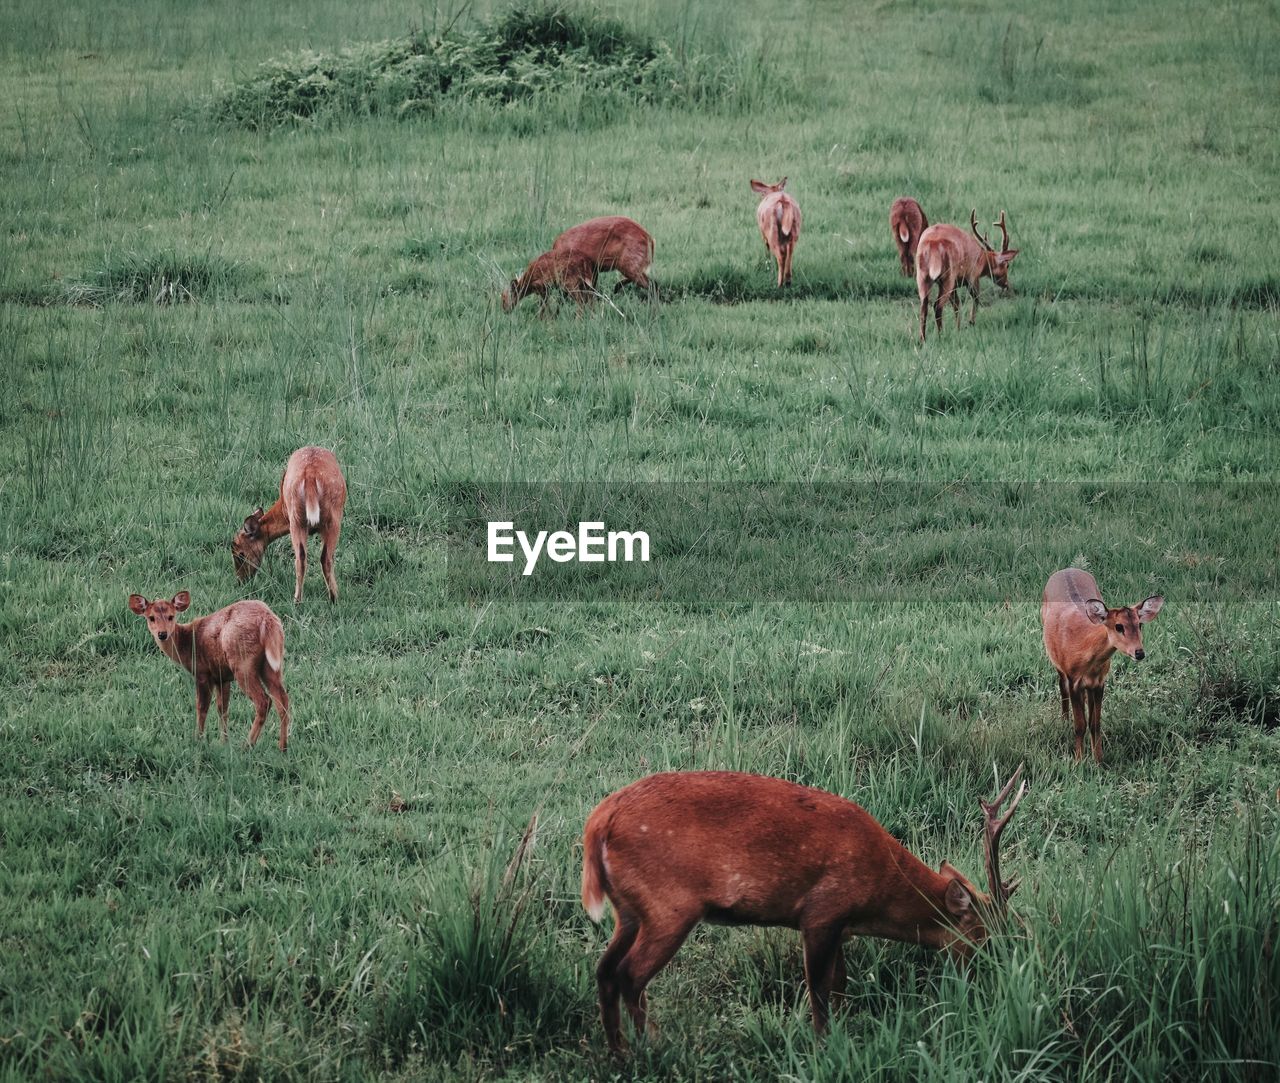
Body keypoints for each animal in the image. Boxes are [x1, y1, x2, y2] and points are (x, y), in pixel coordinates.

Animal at [128, 588, 290, 752]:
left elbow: (202, 707)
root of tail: (268, 619)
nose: (162, 634)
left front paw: (198, 740)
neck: (187, 644)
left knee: (263, 701)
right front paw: (224, 742)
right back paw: (282, 747)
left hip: (242, 663)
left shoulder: (202, 673)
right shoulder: (222, 677)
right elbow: (222, 709)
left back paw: (247, 745)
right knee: (282, 699)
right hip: (271, 665)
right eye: (151, 618)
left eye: (170, 616)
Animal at [231, 445, 348, 606]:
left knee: (304, 557)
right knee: (320, 558)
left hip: (300, 519)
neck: (282, 508)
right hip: (330, 518)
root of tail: (310, 475)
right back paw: (330, 598)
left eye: (240, 554)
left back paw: (302, 600)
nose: (241, 581)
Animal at [586, 762, 1024, 1049]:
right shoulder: (821, 912)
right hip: (670, 904)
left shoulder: (840, 925)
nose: (1003, 977)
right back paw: (654, 1046)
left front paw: (845, 1030)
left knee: (605, 970)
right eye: (986, 938)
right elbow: (819, 991)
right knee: (629, 974)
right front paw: (822, 1045)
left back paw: (619, 1053)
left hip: (629, 910)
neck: (877, 891)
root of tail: (598, 822)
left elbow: (841, 983)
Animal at [916, 204, 1013, 337]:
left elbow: (957, 305)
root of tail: (932, 244)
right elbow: (976, 299)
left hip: (922, 276)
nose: (1007, 284)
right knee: (937, 306)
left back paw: (923, 339)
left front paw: (958, 328)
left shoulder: (956, 285)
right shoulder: (972, 275)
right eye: (1007, 265)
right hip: (948, 277)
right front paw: (970, 322)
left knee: (923, 306)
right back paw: (941, 336)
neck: (981, 258)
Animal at [1044, 573, 1167, 768]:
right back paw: (1064, 721)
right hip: (1058, 664)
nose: (1139, 653)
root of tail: (1065, 570)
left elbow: (1095, 724)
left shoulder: (1099, 682)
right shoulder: (1073, 679)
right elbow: (1080, 725)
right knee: (1061, 686)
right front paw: (1078, 762)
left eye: (1139, 625)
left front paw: (1098, 761)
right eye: (1119, 626)